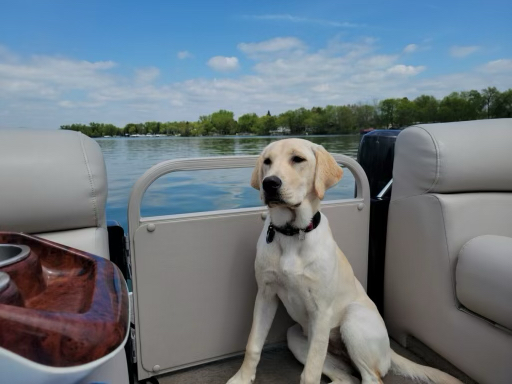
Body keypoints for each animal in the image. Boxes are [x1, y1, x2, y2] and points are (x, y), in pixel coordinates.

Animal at [226, 139, 458, 384]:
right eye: (267, 161)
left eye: (298, 159)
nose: (269, 183)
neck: (292, 233)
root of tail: (389, 350)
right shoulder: (265, 295)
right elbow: (253, 344)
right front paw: (242, 378)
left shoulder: (321, 310)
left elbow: (311, 371)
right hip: (295, 337)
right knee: (347, 378)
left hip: (352, 321)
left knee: (370, 378)